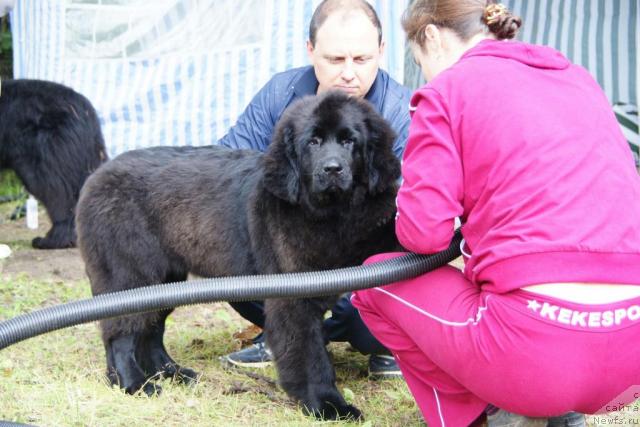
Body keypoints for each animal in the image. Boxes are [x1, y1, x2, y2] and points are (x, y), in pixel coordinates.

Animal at [76, 91, 400, 422]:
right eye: (313, 142)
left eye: (350, 141)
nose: (332, 169)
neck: (331, 215)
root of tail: (97, 174)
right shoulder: (293, 298)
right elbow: (311, 357)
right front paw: (328, 406)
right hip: (130, 273)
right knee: (122, 333)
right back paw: (134, 384)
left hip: (165, 279)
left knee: (151, 329)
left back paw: (170, 373)